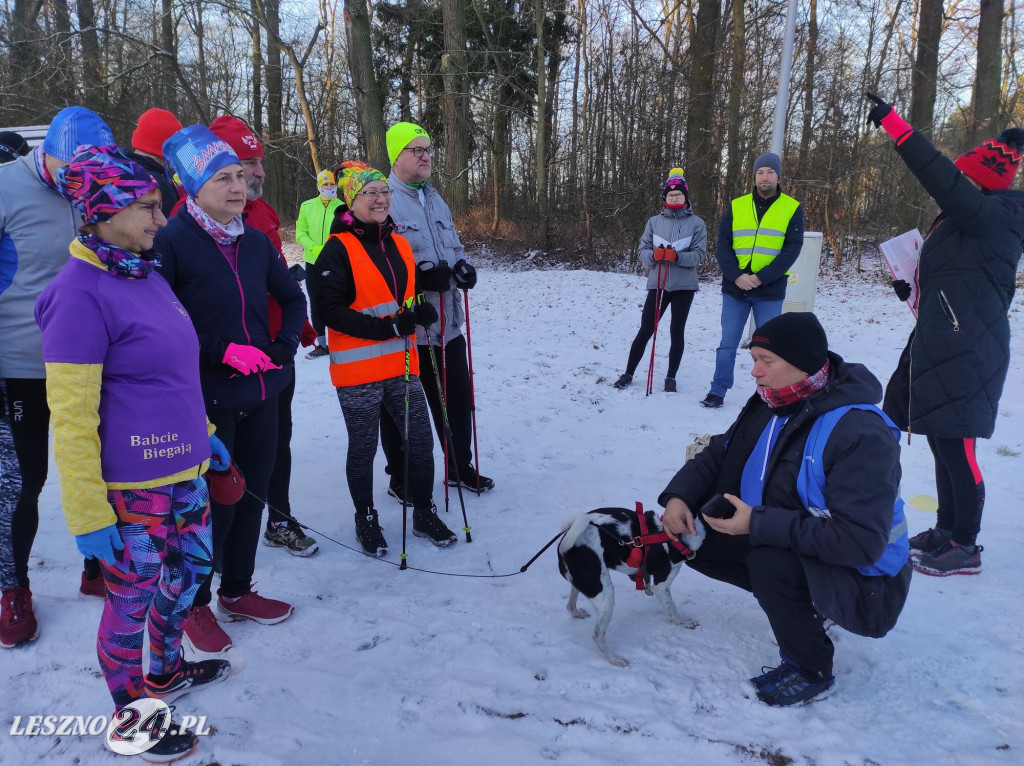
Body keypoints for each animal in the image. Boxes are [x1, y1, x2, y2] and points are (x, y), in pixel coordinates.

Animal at [561, 507, 704, 663]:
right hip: (605, 596)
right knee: (597, 636)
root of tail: (566, 545)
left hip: (584, 583)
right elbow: (672, 607)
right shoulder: (661, 586)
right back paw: (614, 659)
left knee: (570, 605)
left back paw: (578, 614)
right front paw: (682, 622)